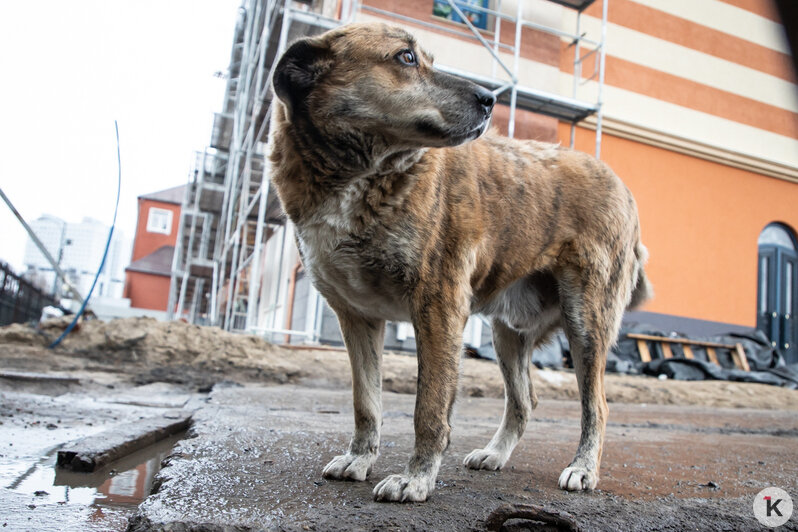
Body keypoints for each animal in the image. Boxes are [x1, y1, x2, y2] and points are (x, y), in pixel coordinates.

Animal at [268, 21, 648, 502]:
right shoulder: (356, 318)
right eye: (406, 58)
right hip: (507, 333)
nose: (490, 99)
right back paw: (496, 454)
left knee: (596, 404)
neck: (362, 175)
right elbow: (365, 403)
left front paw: (415, 478)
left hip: (586, 321)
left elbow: (429, 408)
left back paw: (583, 468)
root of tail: (620, 182)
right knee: (524, 401)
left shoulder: (438, 306)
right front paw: (361, 458)